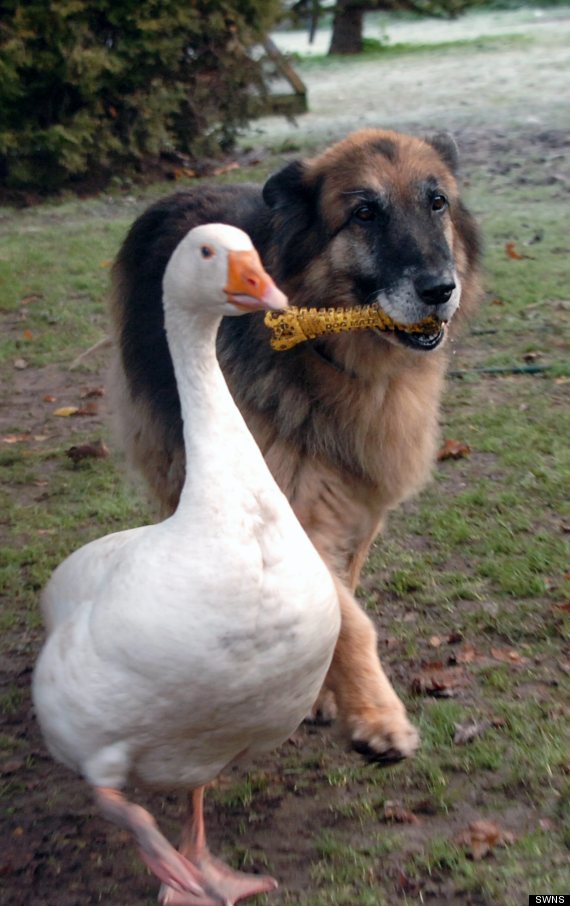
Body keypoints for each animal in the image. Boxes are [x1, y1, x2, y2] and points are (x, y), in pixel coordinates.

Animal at [107, 129, 480, 764]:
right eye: (364, 213)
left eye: (437, 203)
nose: (439, 289)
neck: (331, 360)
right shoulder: (287, 502)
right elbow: (349, 619)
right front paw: (377, 717)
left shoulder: (357, 504)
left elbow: (337, 600)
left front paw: (329, 693)